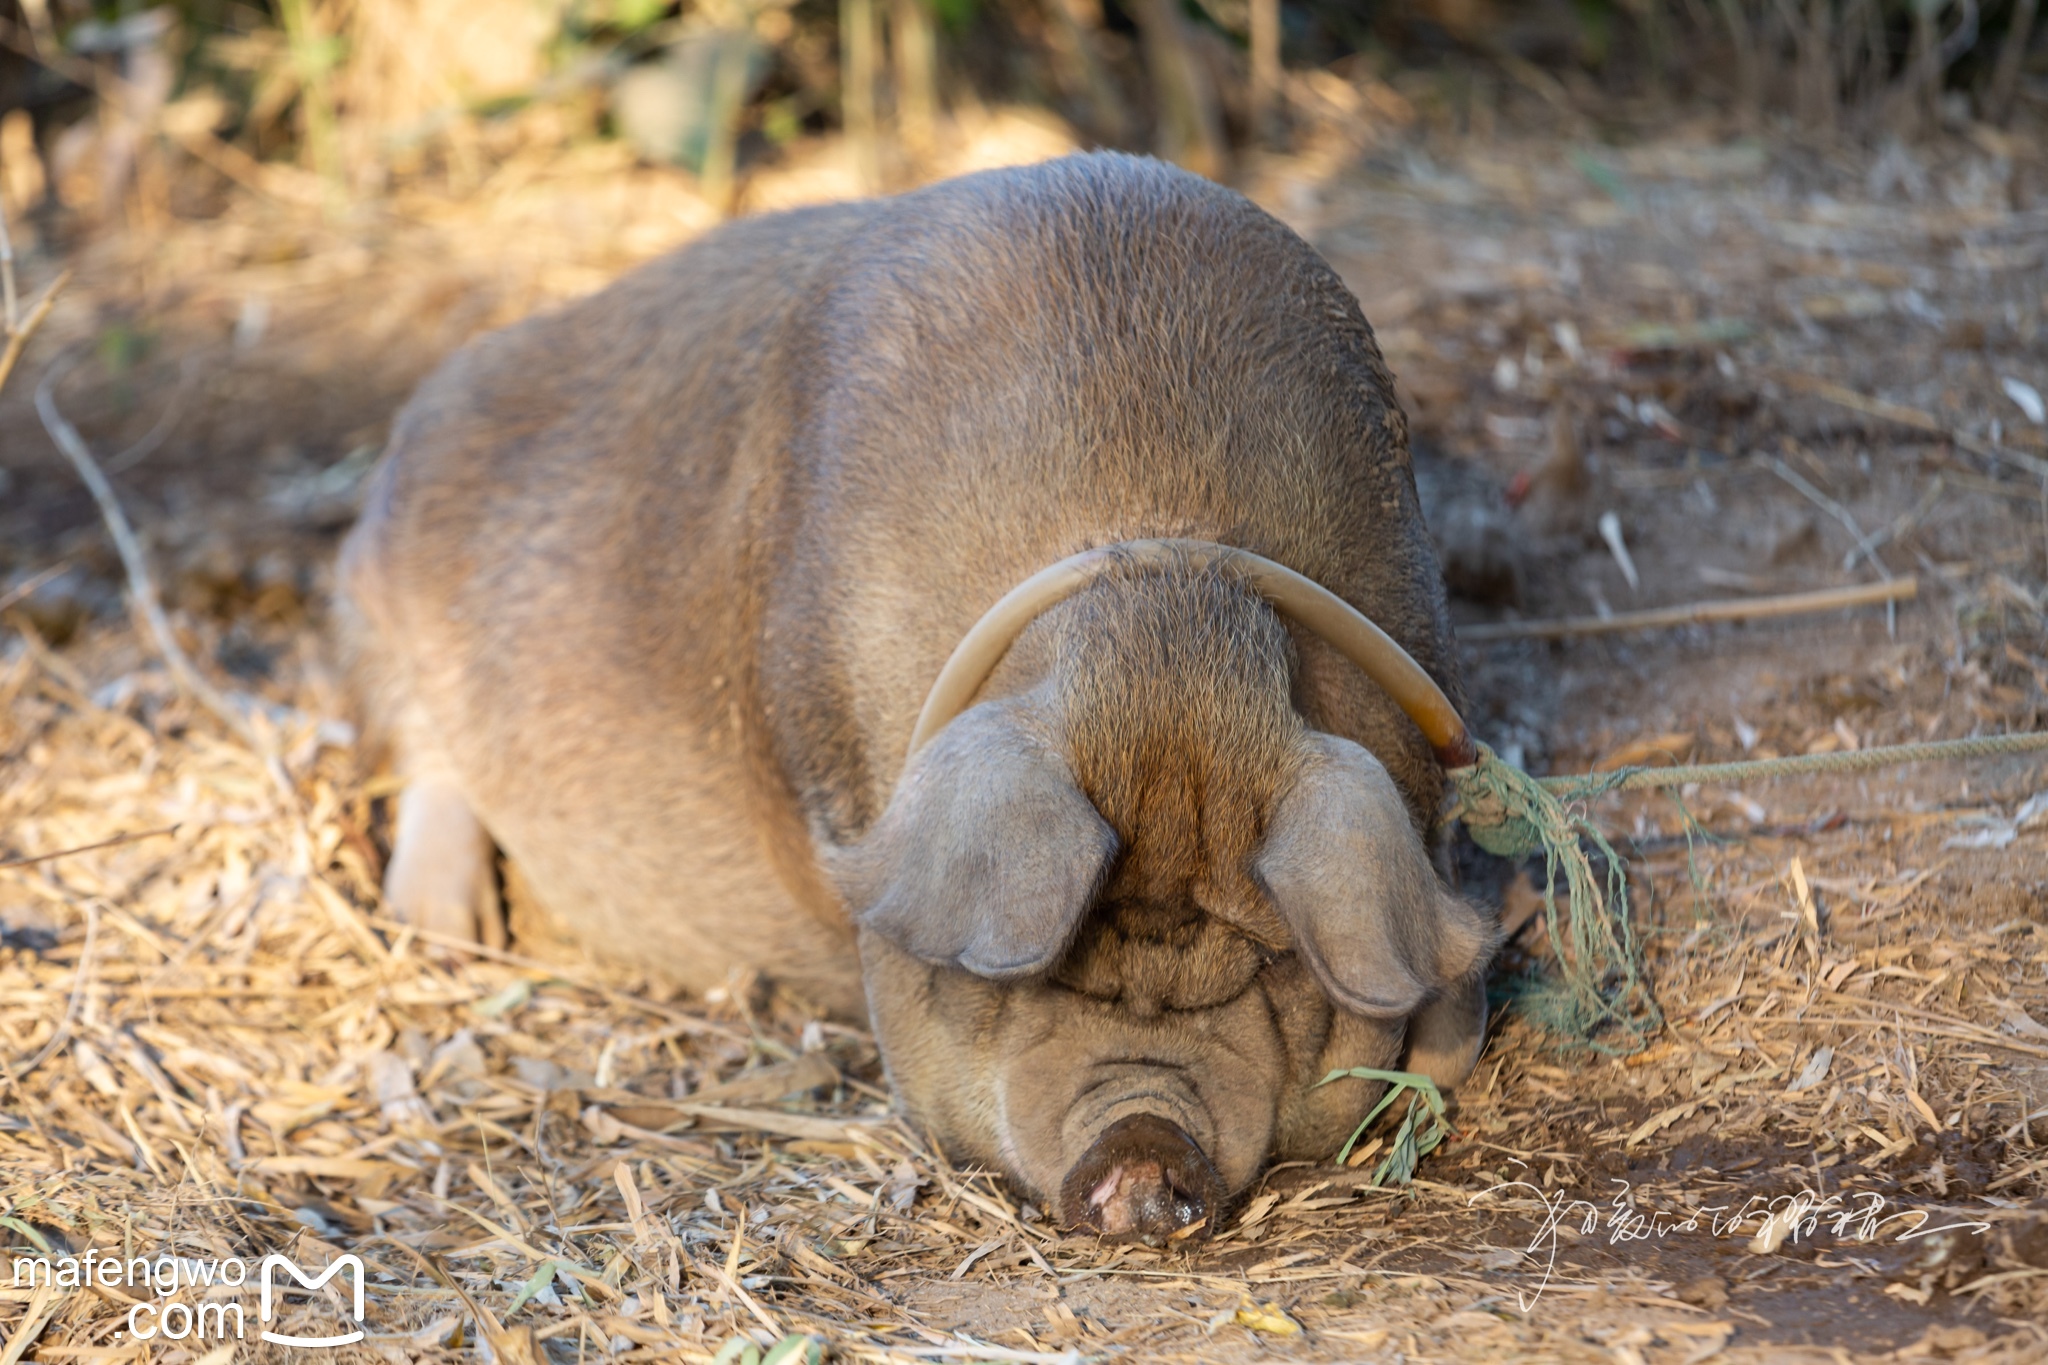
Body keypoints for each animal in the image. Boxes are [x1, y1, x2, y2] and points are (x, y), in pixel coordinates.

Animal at [335, 152, 1490, 1252]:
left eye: (1269, 963)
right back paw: (449, 927)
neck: (1159, 597)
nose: (1143, 1147)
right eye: (1048, 965)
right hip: (377, 600)